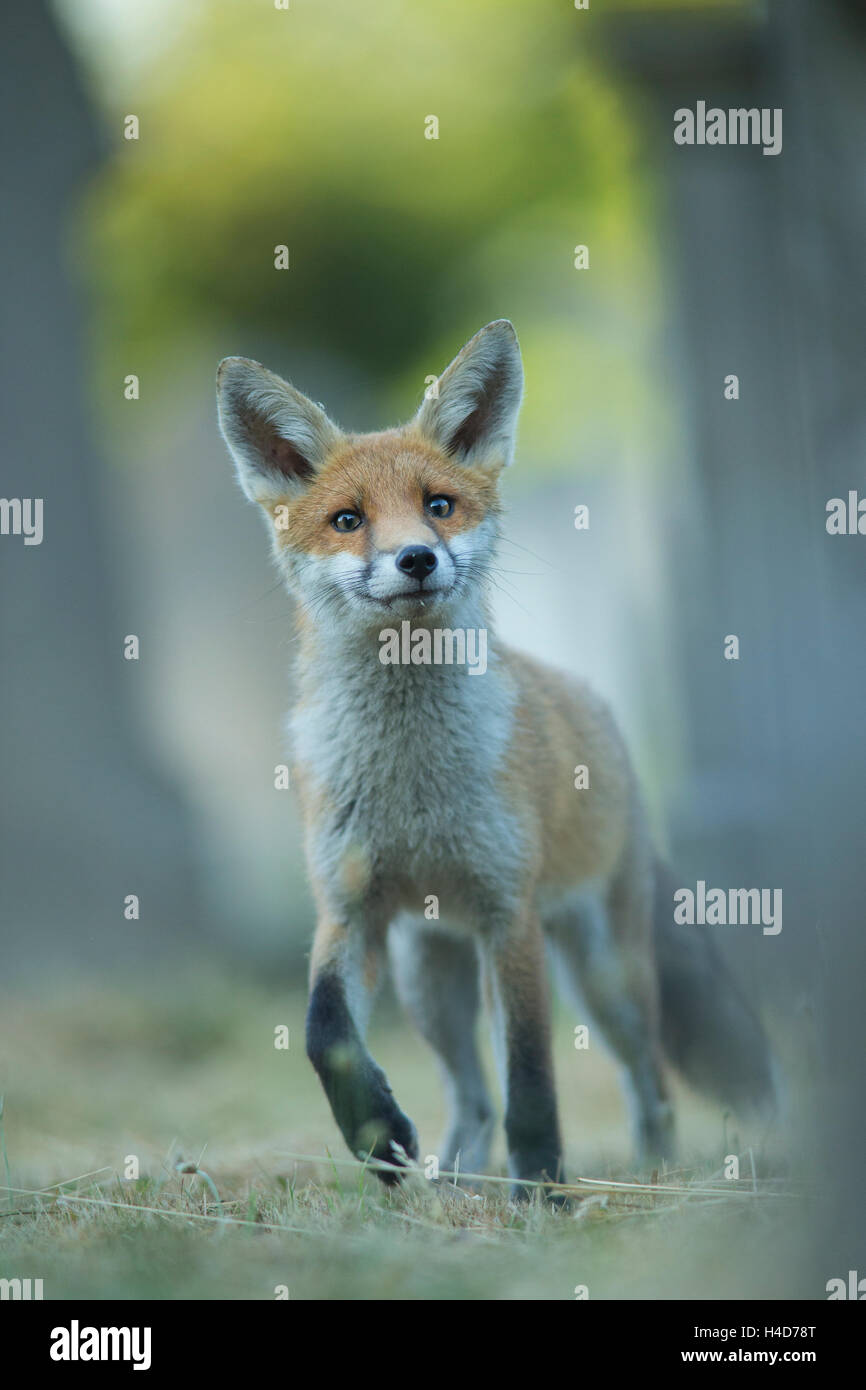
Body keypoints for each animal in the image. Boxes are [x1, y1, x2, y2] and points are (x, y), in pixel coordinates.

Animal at [218, 318, 778, 1195]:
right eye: (347, 520)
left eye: (438, 507)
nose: (416, 558)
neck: (411, 783)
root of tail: (596, 704)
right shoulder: (348, 910)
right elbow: (324, 1035)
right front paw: (378, 1138)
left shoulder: (505, 913)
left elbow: (533, 1072)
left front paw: (543, 1187)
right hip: (430, 977)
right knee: (471, 1098)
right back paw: (450, 1182)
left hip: (602, 975)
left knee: (647, 1080)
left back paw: (649, 1175)